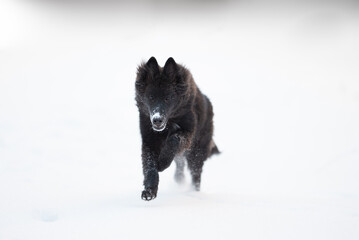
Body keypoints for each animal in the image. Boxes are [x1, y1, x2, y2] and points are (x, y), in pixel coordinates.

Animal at [136, 56, 218, 201]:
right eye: (151, 97)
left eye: (168, 98)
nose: (157, 120)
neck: (169, 122)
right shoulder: (149, 140)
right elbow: (150, 167)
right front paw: (149, 191)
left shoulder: (188, 133)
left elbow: (174, 139)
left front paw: (162, 163)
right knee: (180, 164)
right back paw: (179, 179)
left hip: (196, 153)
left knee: (196, 175)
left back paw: (194, 193)